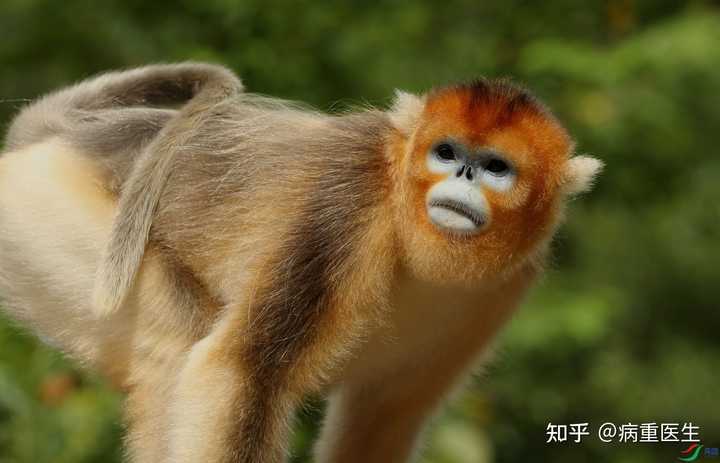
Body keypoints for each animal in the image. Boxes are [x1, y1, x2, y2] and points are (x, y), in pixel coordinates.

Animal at [0, 62, 602, 463]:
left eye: (496, 167)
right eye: (447, 153)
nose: (464, 177)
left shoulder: (506, 286)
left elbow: (382, 419)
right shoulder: (345, 208)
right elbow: (240, 374)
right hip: (42, 211)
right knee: (173, 344)